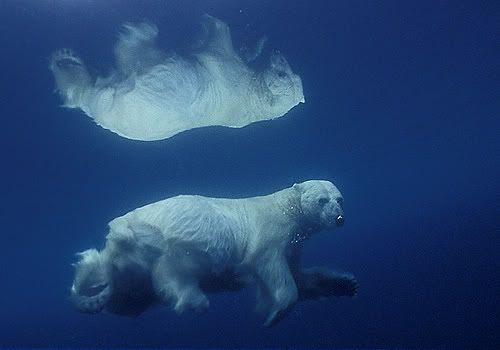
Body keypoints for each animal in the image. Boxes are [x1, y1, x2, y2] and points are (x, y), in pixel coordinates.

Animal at [49, 15, 304, 141]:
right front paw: (257, 42)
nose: (278, 52)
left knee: (125, 64)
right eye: (289, 71)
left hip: (129, 100)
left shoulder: (225, 70)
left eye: (282, 73)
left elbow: (218, 39)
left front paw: (210, 21)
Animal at [72, 180, 358, 326]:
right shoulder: (271, 232)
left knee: (127, 299)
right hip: (166, 240)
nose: (340, 218)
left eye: (340, 199)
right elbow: (273, 269)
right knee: (173, 271)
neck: (286, 208)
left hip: (133, 270)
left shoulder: (294, 243)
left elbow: (301, 276)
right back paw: (193, 300)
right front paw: (274, 313)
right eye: (322, 200)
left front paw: (345, 283)